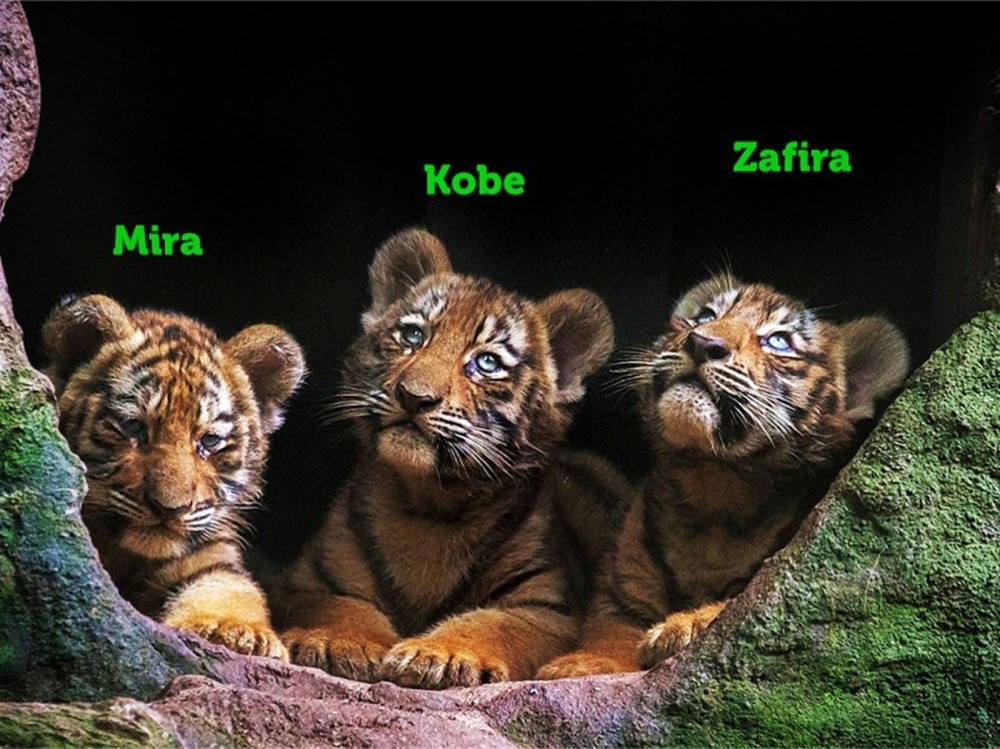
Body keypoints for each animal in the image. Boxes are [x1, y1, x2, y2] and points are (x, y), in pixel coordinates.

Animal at [42, 294, 305, 660]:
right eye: (133, 427)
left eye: (209, 441)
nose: (170, 509)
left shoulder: (211, 556)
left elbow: (229, 588)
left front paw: (235, 632)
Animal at [271, 228, 617, 688]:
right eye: (413, 336)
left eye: (486, 363)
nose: (414, 397)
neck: (430, 505)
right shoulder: (310, 580)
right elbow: (340, 605)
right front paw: (338, 641)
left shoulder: (547, 609)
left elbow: (492, 624)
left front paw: (440, 654)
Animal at [537, 272, 910, 678]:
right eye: (705, 316)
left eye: (779, 341)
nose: (702, 342)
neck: (713, 488)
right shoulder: (622, 589)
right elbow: (610, 632)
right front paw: (579, 664)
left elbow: (734, 607)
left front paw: (683, 625)